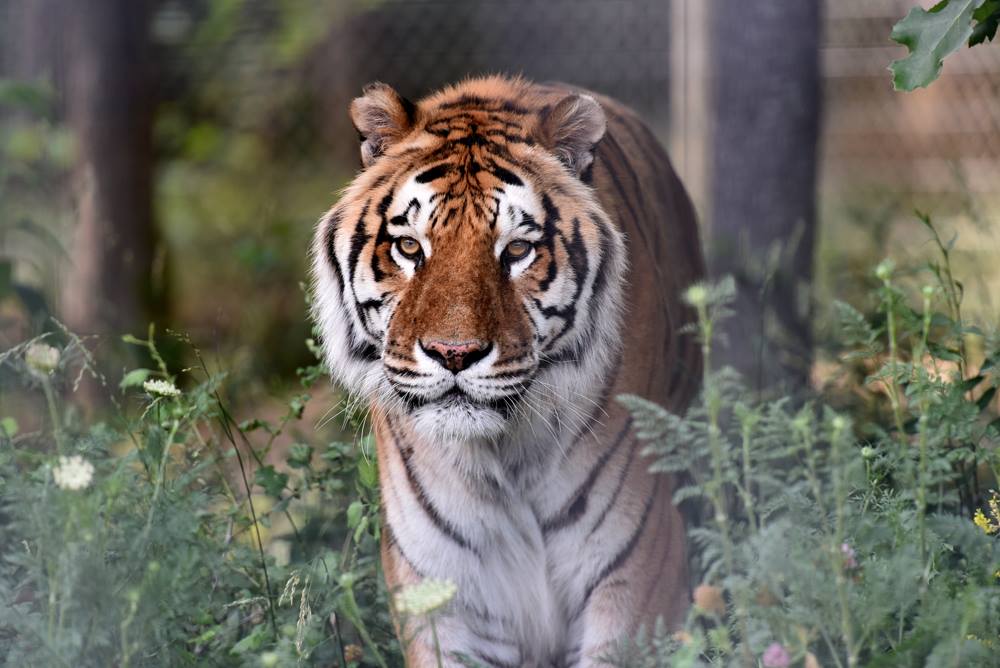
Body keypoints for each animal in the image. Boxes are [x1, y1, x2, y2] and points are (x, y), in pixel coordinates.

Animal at [311, 75, 704, 667]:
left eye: (517, 249)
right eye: (409, 246)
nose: (453, 353)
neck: (504, 456)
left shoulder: (635, 566)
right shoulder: (441, 587)